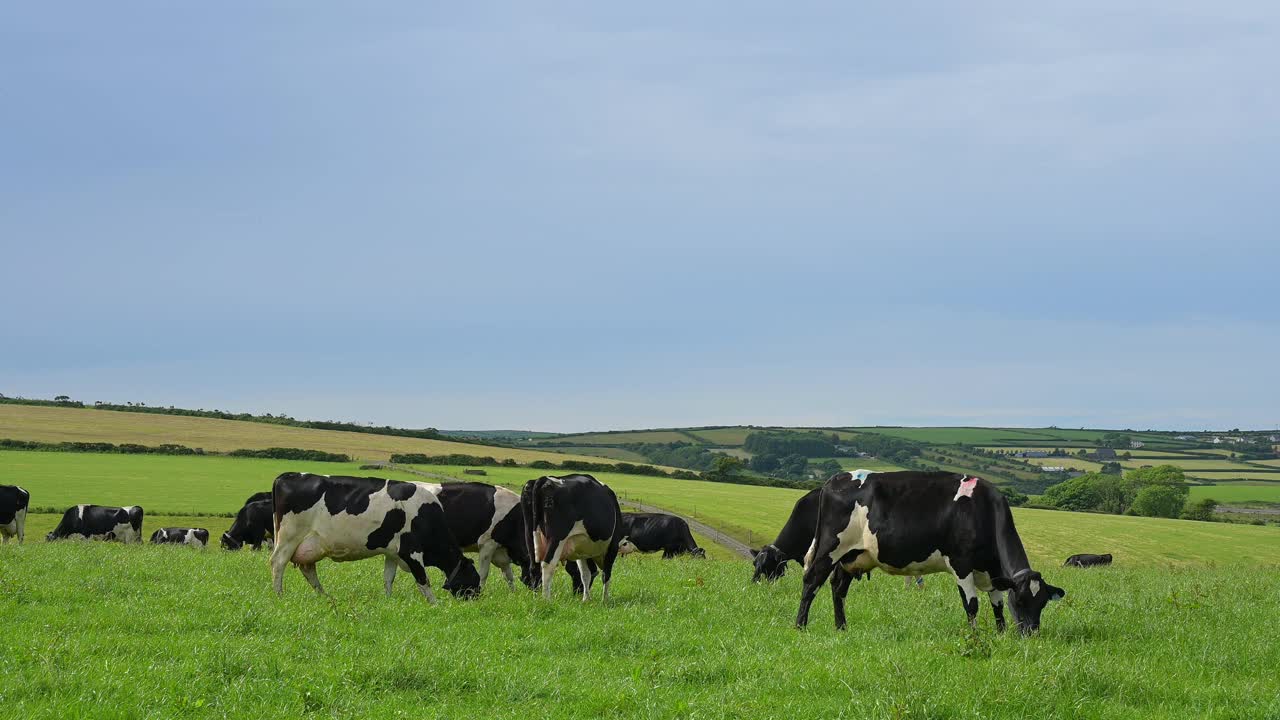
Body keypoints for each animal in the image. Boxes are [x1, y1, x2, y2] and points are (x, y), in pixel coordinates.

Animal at [266, 471, 481, 599]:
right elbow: (423, 581)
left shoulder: (393, 553)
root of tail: (287, 475)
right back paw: (279, 595)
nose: (477, 598)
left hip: (310, 542)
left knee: (308, 568)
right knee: (278, 563)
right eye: (474, 580)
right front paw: (435, 605)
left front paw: (388, 600)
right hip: (289, 537)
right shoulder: (411, 551)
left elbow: (388, 578)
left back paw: (324, 596)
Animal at [517, 471, 622, 599]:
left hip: (529, 534)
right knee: (547, 565)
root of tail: (545, 479)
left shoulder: (582, 550)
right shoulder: (613, 545)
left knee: (534, 567)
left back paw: (536, 598)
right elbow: (606, 574)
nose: (577, 592)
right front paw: (604, 599)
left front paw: (586, 599)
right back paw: (546, 599)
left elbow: (585, 574)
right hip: (557, 537)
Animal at [793, 471, 1064, 632]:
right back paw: (800, 626)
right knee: (812, 580)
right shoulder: (960, 564)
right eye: (1020, 600)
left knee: (838, 588)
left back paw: (841, 627)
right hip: (831, 547)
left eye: (1042, 603)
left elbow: (996, 604)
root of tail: (834, 479)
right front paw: (975, 637)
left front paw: (1001, 633)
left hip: (852, 556)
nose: (1031, 633)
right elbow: (972, 605)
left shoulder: (992, 572)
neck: (982, 510)